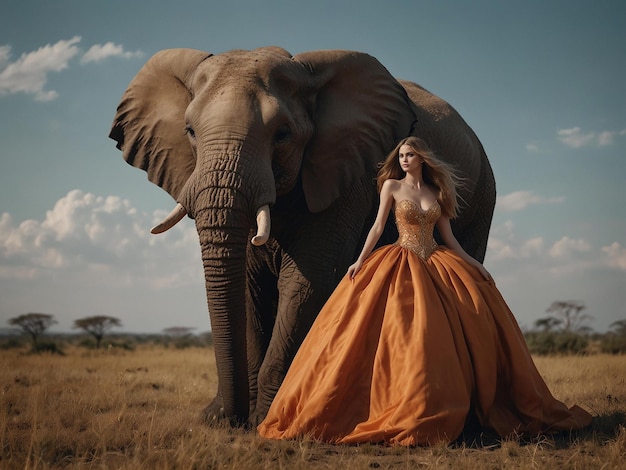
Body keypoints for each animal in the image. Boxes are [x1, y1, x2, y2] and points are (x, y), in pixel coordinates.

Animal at [109, 46, 494, 426]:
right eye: (189, 131)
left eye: (282, 134)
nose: (228, 418)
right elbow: (248, 285)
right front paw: (227, 418)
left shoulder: (348, 175)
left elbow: (306, 282)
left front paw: (267, 420)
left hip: (482, 195)